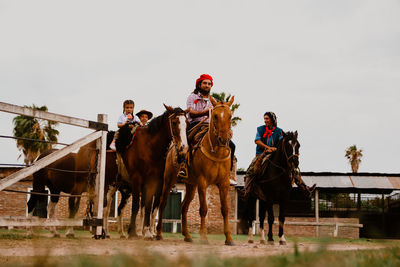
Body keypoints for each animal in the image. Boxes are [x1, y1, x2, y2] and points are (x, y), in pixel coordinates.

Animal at [116, 105, 188, 241]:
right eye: (174, 122)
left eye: (187, 123)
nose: (184, 149)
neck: (149, 146)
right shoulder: (137, 179)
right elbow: (137, 205)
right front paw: (133, 232)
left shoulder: (153, 181)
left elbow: (149, 207)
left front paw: (147, 232)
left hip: (124, 190)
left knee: (119, 209)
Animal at [156, 97, 234, 246]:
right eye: (215, 116)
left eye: (230, 116)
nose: (223, 139)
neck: (217, 153)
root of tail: (171, 149)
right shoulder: (203, 183)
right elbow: (203, 209)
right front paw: (203, 237)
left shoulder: (224, 183)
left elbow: (225, 209)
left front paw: (229, 238)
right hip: (169, 179)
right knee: (162, 203)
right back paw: (158, 234)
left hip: (191, 185)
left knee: (183, 206)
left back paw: (187, 235)